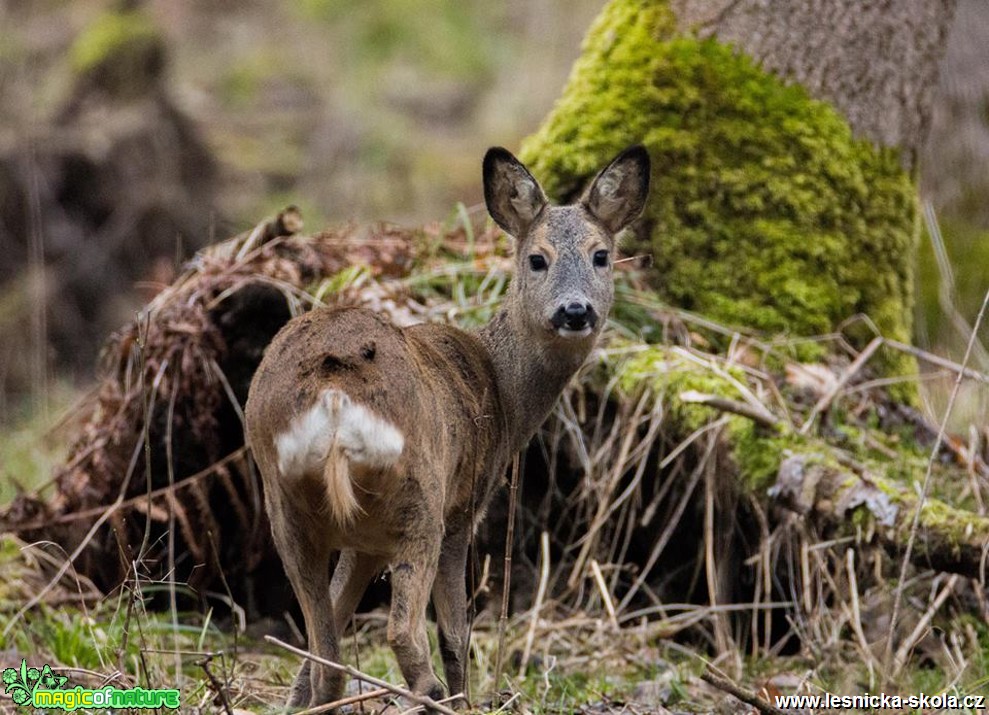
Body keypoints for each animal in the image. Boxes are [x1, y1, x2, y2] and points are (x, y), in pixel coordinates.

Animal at [245, 144, 648, 712]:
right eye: (537, 258)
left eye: (601, 256)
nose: (575, 310)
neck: (503, 391)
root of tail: (333, 392)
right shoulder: (463, 510)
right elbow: (457, 633)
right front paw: (467, 697)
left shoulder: (363, 543)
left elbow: (326, 635)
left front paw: (295, 700)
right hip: (420, 496)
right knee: (403, 631)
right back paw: (433, 694)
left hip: (285, 503)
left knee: (324, 649)